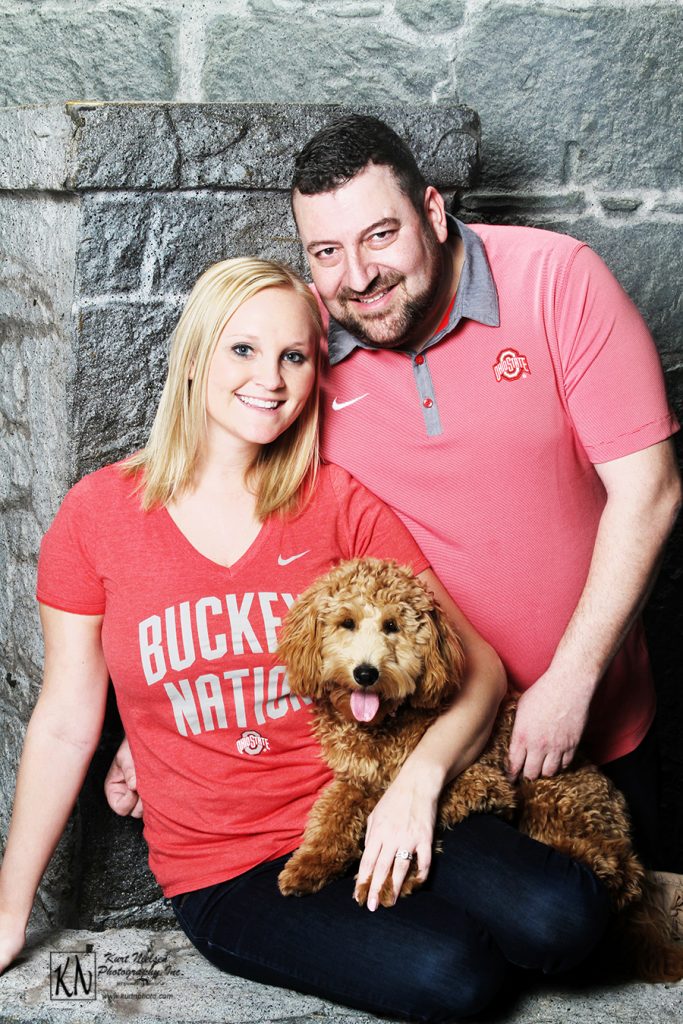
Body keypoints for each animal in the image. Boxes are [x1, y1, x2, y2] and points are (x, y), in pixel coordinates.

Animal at [276, 561, 683, 983]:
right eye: (346, 622)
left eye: (392, 626)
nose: (366, 673)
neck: (385, 725)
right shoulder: (357, 781)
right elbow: (331, 813)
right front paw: (309, 864)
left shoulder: (477, 783)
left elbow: (411, 821)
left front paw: (389, 879)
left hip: (552, 796)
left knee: (620, 868)